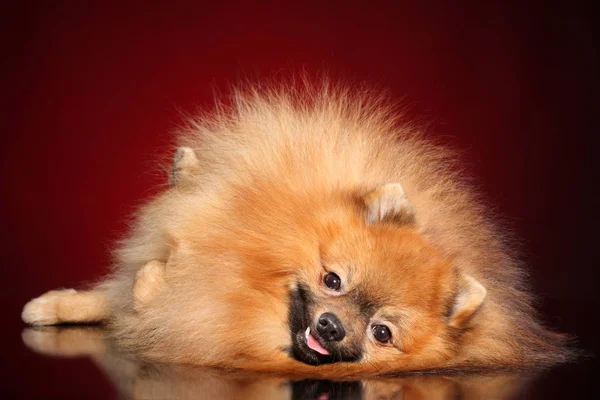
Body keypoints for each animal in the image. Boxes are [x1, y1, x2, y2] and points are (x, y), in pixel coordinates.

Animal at [21, 83, 568, 376]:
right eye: (333, 280)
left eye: (382, 333)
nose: (330, 326)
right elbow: (136, 272)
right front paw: (52, 306)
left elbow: (148, 289)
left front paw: (159, 279)